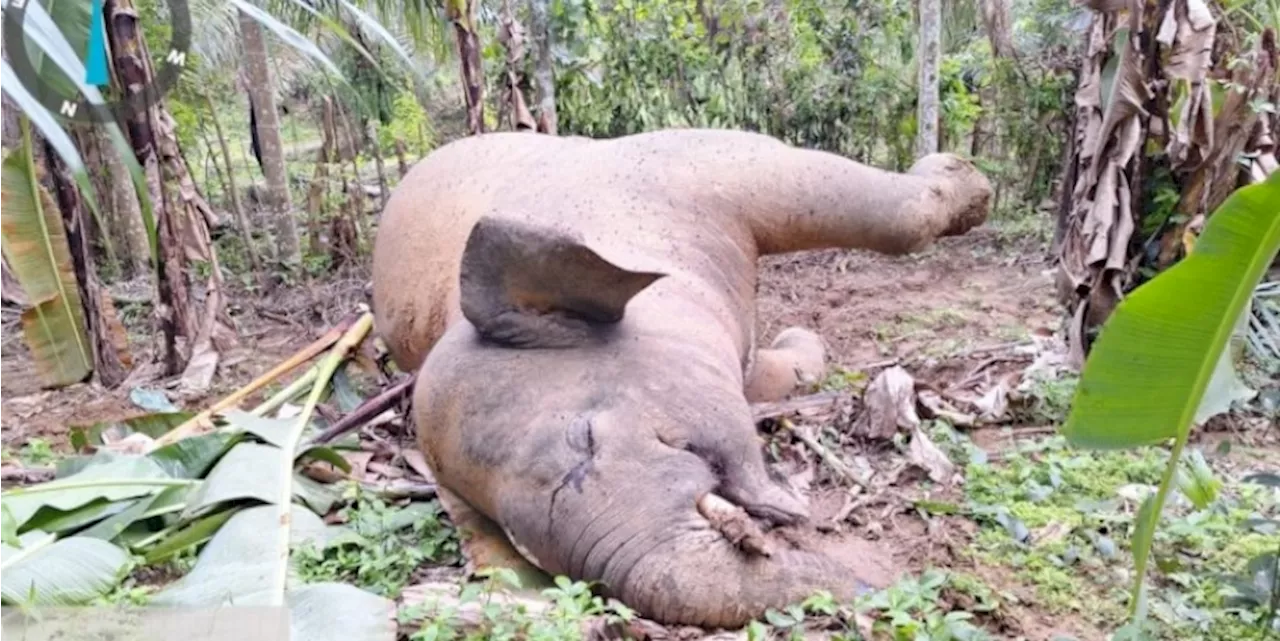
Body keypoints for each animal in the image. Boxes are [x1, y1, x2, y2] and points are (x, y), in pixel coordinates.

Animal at [371, 127, 988, 626]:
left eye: (585, 438)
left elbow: (892, 219)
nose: (871, 587)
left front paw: (967, 181)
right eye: (523, 547)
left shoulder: (704, 162)